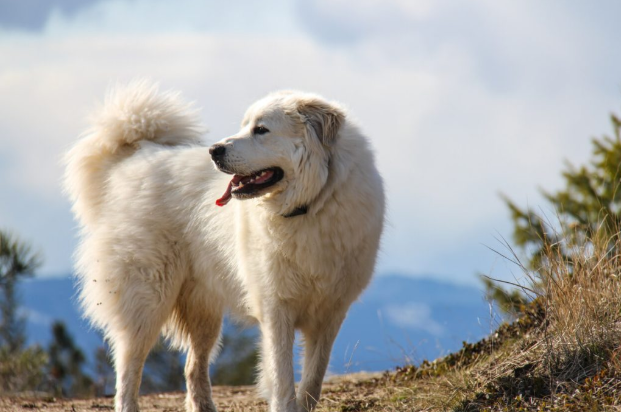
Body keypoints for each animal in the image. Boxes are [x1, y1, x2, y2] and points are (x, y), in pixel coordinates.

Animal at [63, 81, 382, 412]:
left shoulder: (330, 313)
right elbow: (282, 377)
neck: (310, 204)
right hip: (147, 298)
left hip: (204, 311)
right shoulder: (275, 308)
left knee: (193, 365)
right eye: (244, 126)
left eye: (261, 130)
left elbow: (313, 380)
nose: (214, 150)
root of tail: (136, 157)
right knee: (129, 366)